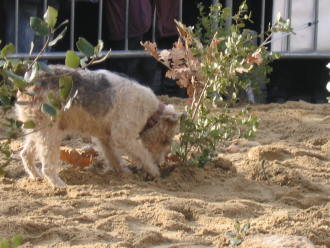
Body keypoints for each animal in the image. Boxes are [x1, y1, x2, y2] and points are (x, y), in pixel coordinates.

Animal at [14, 65, 180, 187]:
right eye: (165, 141)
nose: (160, 162)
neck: (151, 114)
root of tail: (28, 81)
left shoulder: (105, 136)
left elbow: (113, 156)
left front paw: (123, 172)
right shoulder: (124, 136)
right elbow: (143, 153)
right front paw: (154, 170)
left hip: (36, 129)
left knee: (25, 154)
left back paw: (36, 176)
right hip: (50, 132)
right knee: (47, 165)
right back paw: (58, 184)